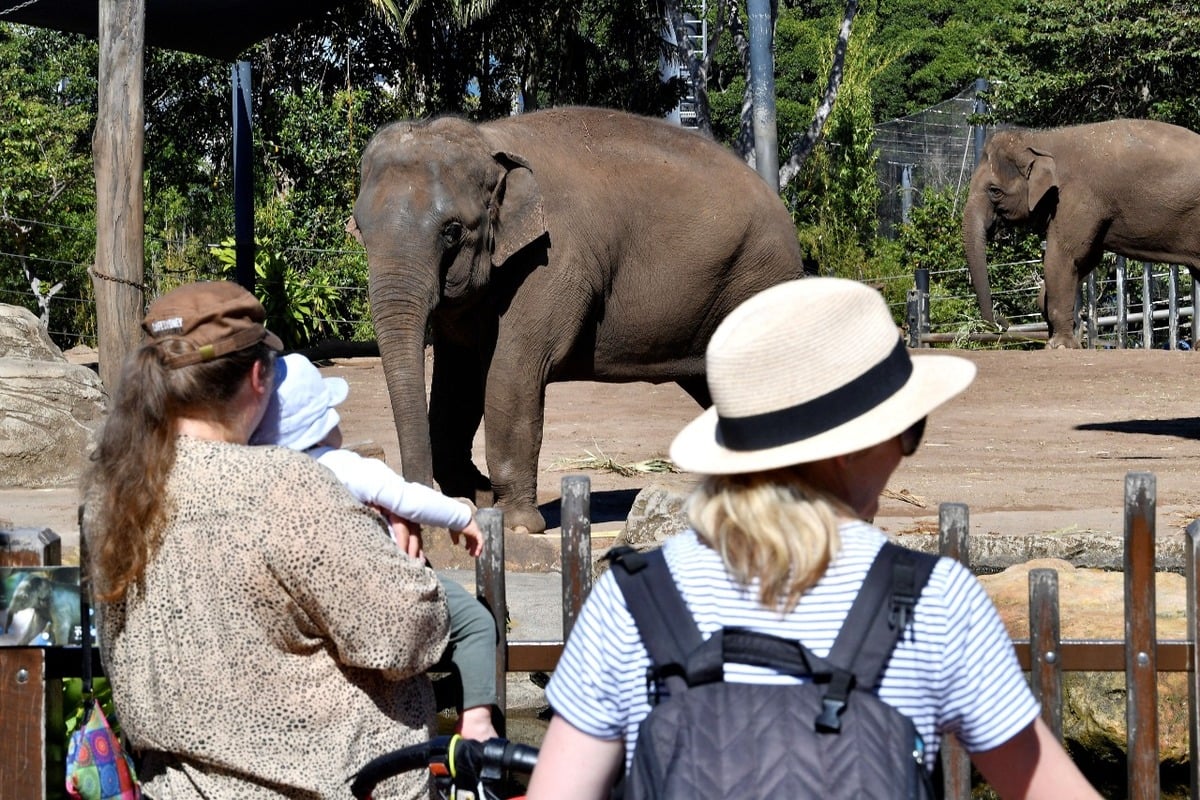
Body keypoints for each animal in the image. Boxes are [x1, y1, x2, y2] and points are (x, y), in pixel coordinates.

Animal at [355, 104, 806, 532]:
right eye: (359, 229)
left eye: (451, 231)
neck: (489, 138)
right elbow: (458, 382)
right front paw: (479, 497)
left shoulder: (551, 261)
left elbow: (511, 372)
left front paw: (518, 524)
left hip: (758, 282)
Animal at [960, 117, 1200, 347]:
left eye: (995, 191)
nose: (1003, 322)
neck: (1041, 138)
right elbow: (1085, 260)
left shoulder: (1078, 197)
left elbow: (1064, 256)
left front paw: (1060, 346)